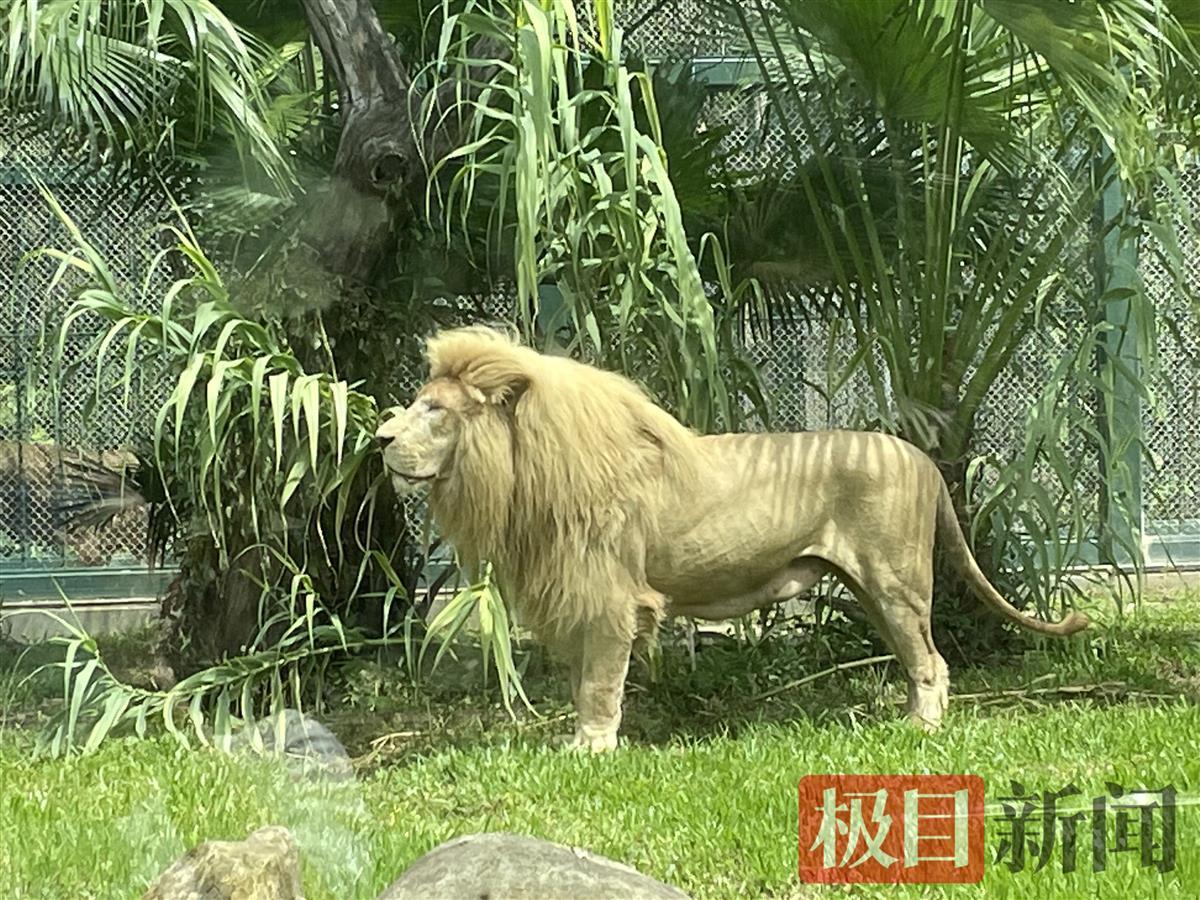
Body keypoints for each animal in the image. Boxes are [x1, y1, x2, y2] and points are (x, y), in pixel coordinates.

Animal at [374, 328, 1089, 748]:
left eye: (433, 410)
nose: (379, 440)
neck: (520, 475)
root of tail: (922, 456)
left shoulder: (610, 600)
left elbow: (600, 685)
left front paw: (592, 751)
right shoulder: (577, 599)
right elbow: (583, 683)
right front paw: (579, 743)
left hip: (896, 582)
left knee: (933, 662)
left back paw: (921, 731)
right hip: (871, 590)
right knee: (920, 660)